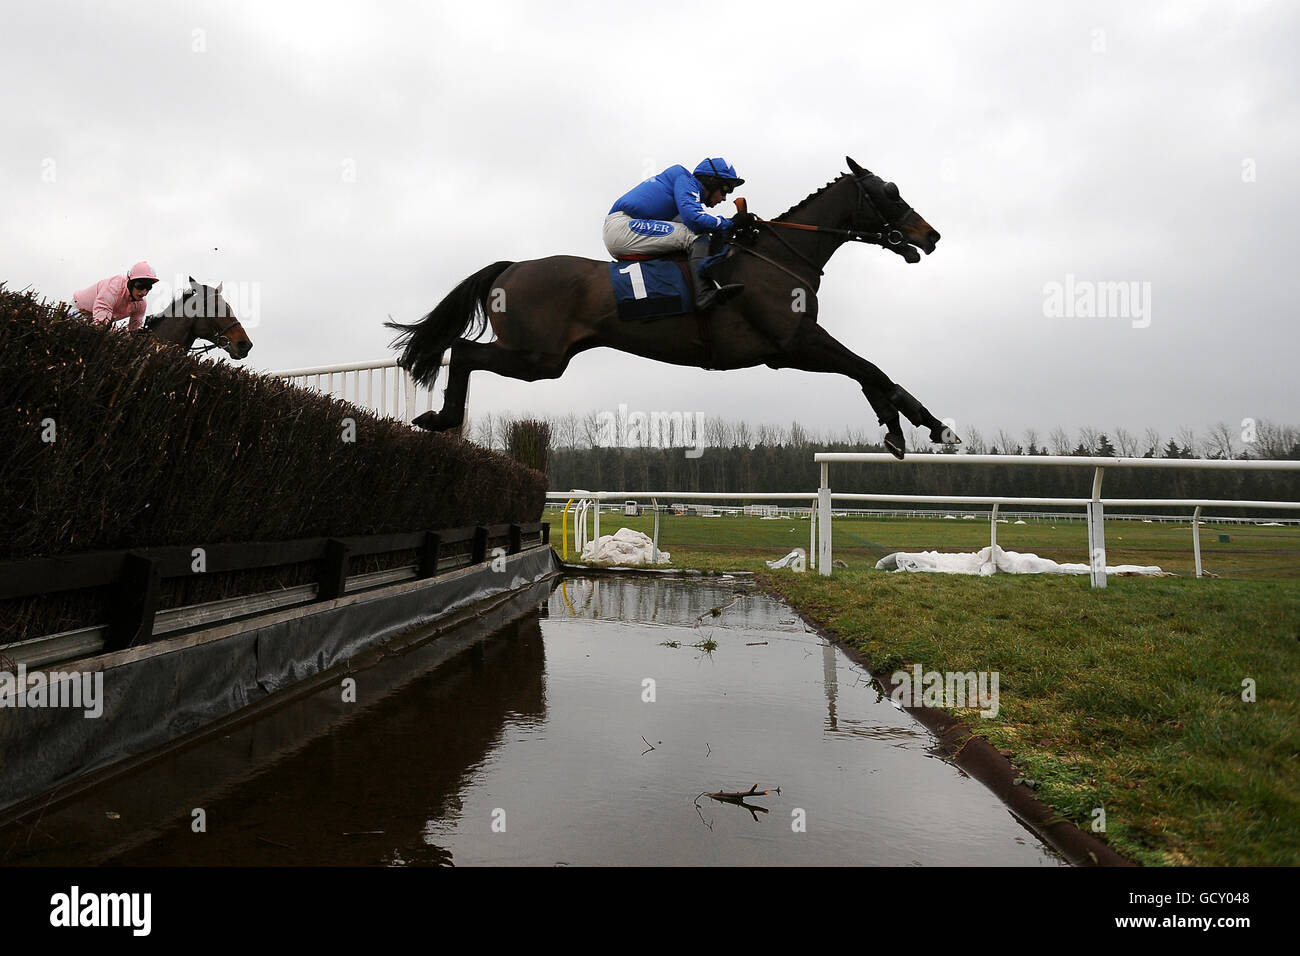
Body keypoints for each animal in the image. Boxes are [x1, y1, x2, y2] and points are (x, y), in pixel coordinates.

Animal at [384, 157, 956, 460]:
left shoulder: (792, 350)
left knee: (462, 350)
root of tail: (512, 266)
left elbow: (867, 372)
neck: (779, 255)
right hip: (536, 357)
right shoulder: (792, 344)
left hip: (541, 358)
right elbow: (870, 369)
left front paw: (901, 426)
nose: (931, 236)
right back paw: (441, 416)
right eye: (891, 190)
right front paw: (924, 425)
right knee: (462, 350)